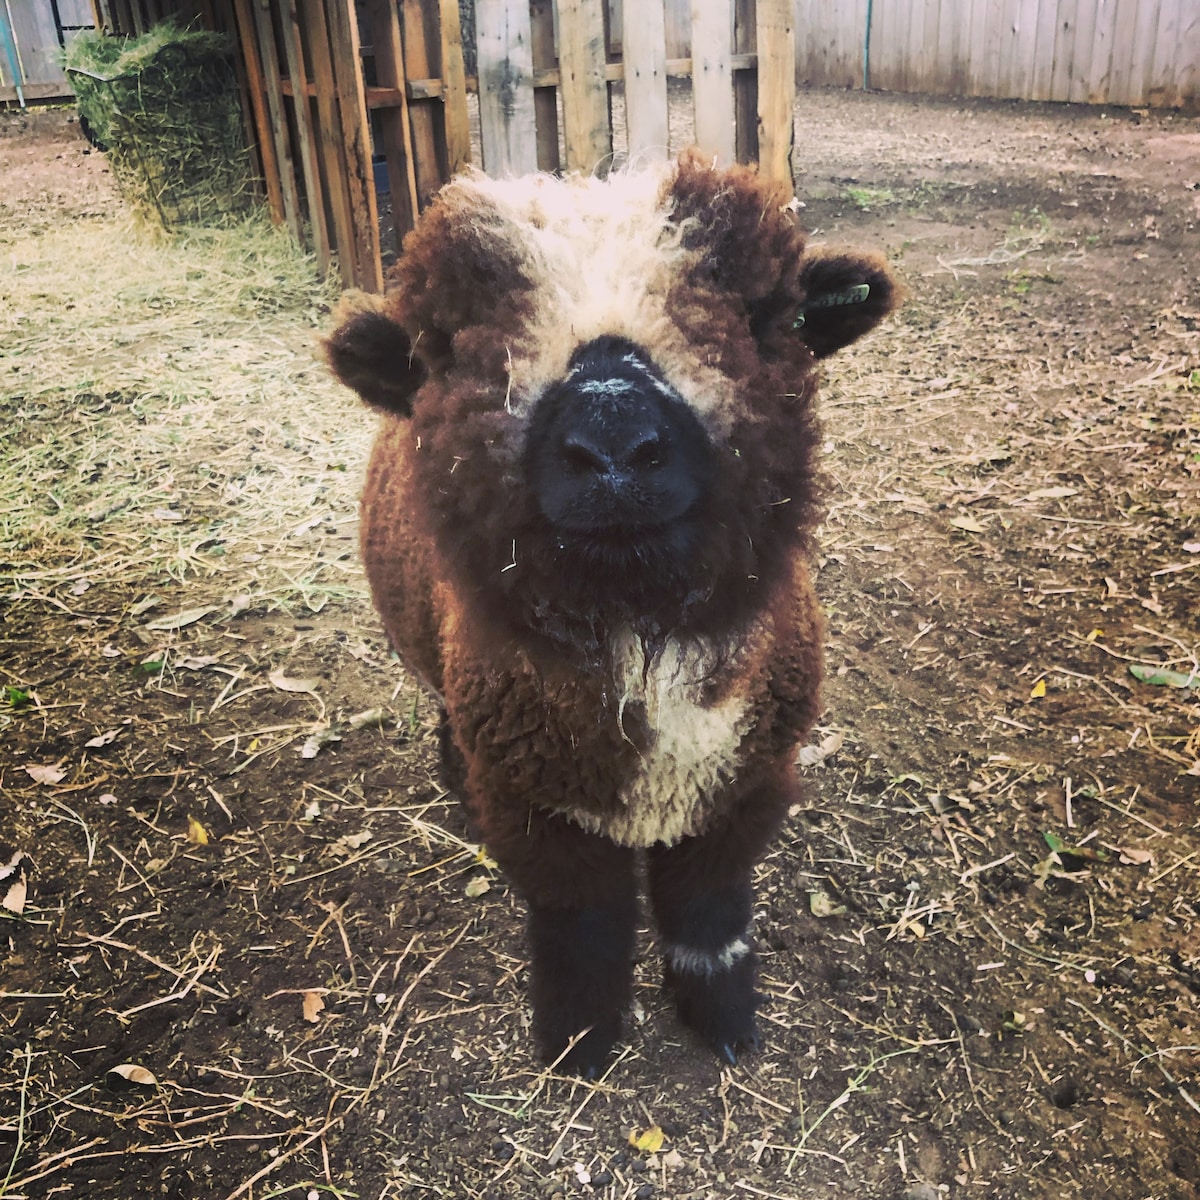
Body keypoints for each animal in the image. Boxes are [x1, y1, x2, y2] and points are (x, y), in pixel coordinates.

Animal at [328, 152, 902, 1080]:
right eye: (449, 345)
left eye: (764, 315)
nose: (613, 446)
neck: (640, 635)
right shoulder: (533, 806)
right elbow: (584, 925)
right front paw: (580, 1041)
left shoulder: (746, 786)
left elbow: (710, 915)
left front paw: (723, 1022)